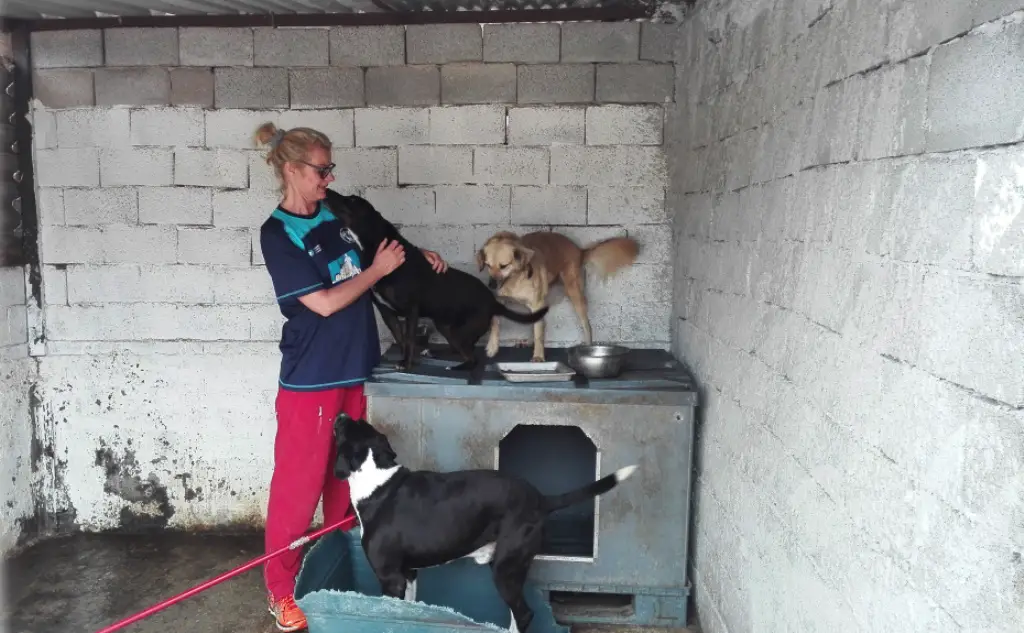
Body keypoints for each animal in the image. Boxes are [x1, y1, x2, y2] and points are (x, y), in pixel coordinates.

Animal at [323, 190, 549, 371]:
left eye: (351, 200)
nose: (327, 191)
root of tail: (492, 301)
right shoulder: (387, 312)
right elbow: (401, 339)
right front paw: (407, 359)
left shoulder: (411, 310)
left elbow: (409, 339)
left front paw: (406, 363)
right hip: (444, 325)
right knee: (457, 349)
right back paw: (434, 353)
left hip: (460, 330)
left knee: (472, 358)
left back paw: (456, 367)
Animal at [332, 412, 638, 633]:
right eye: (358, 422)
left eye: (345, 428)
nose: (341, 414)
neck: (376, 477)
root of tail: (540, 498)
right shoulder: (408, 574)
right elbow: (410, 610)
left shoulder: (391, 578)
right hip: (511, 568)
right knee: (517, 613)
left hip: (504, 569)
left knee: (524, 614)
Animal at [476, 231, 639, 362]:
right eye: (488, 265)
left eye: (504, 266)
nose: (491, 285)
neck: (514, 280)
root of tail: (579, 250)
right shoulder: (499, 300)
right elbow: (495, 323)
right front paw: (492, 347)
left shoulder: (537, 303)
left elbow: (539, 333)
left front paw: (538, 356)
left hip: (574, 292)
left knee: (586, 324)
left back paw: (587, 347)